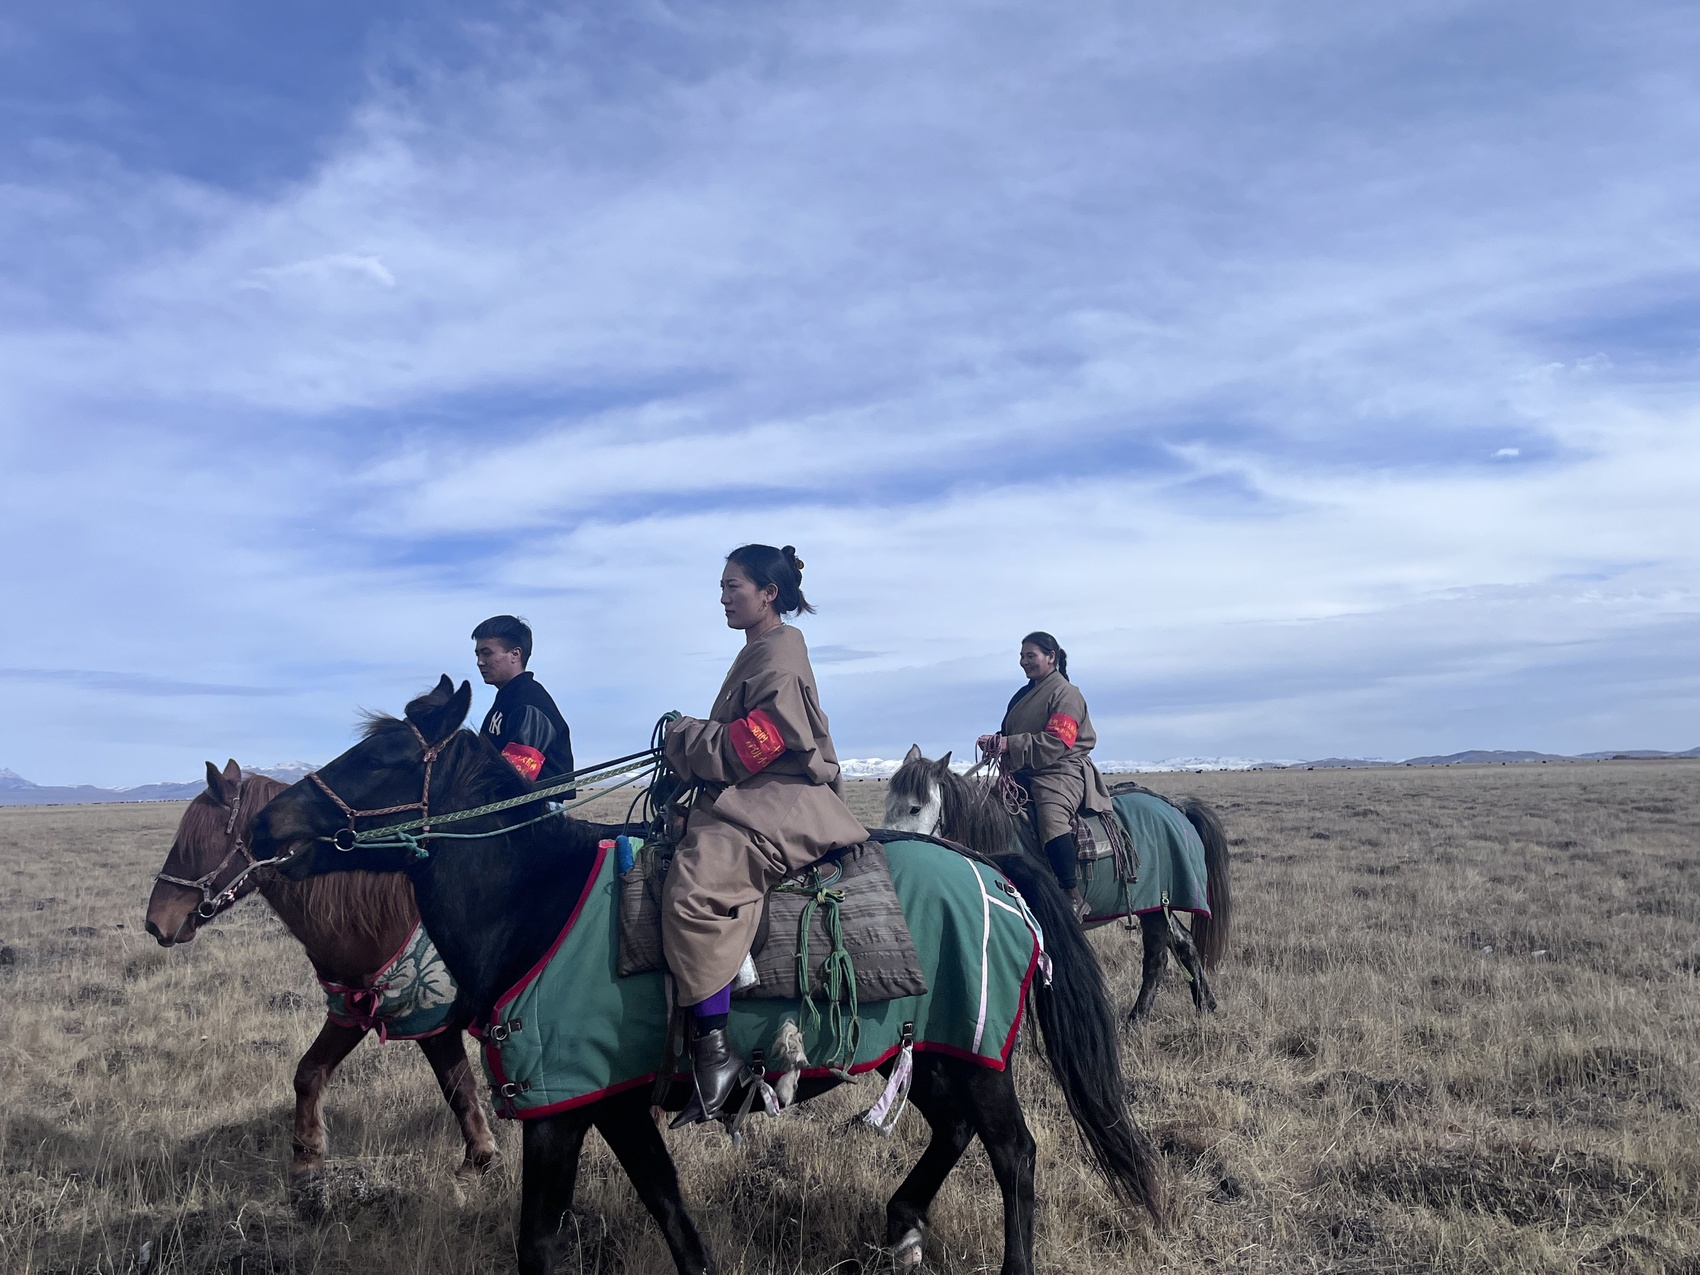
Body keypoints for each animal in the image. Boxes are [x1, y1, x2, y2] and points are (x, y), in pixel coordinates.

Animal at [144, 759, 496, 1179]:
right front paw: (306, 1154)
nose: (155, 923)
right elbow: (308, 1072)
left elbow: (458, 1088)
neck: (377, 915)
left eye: (194, 845)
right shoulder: (353, 1010)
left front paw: (478, 1159)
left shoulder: (432, 1019)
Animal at [248, 677, 1163, 1275]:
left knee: (1014, 1153)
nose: (266, 824)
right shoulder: (608, 1104)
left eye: (383, 757)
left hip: (977, 1054)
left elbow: (540, 1240)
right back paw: (902, 1224)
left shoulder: (562, 1108)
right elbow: (672, 1215)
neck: (537, 901)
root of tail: (996, 870)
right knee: (957, 1130)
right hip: (932, 1050)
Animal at [884, 746, 1233, 1022]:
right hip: (1157, 904)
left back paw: (1138, 1018)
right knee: (1184, 944)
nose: (888, 845)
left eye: (915, 807)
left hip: (1155, 905)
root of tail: (1178, 807)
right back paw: (1204, 1005)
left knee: (1157, 958)